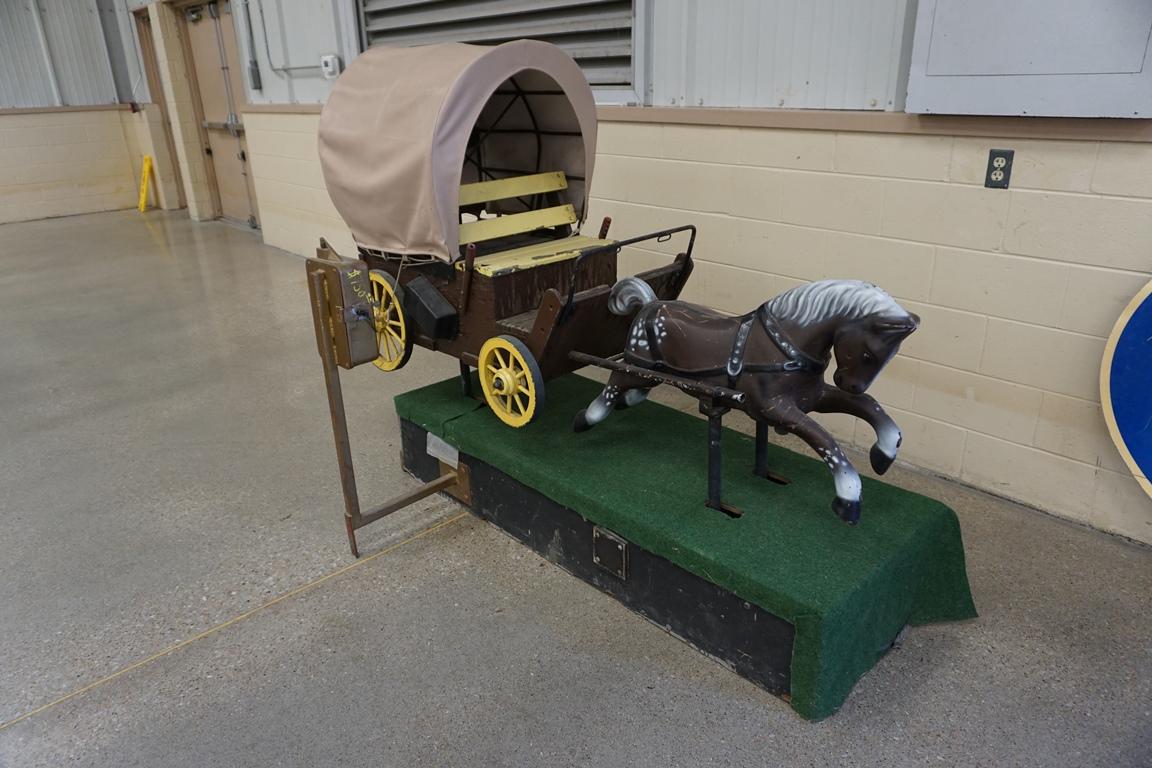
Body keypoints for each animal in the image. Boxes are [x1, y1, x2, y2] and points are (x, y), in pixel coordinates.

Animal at [573, 276, 916, 522]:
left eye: (891, 355)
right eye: (869, 354)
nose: (850, 383)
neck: (787, 346)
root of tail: (651, 303)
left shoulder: (811, 396)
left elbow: (871, 407)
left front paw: (883, 456)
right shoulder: (776, 407)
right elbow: (825, 439)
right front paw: (849, 499)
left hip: (651, 372)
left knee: (630, 389)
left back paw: (625, 402)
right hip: (637, 364)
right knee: (613, 383)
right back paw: (585, 419)